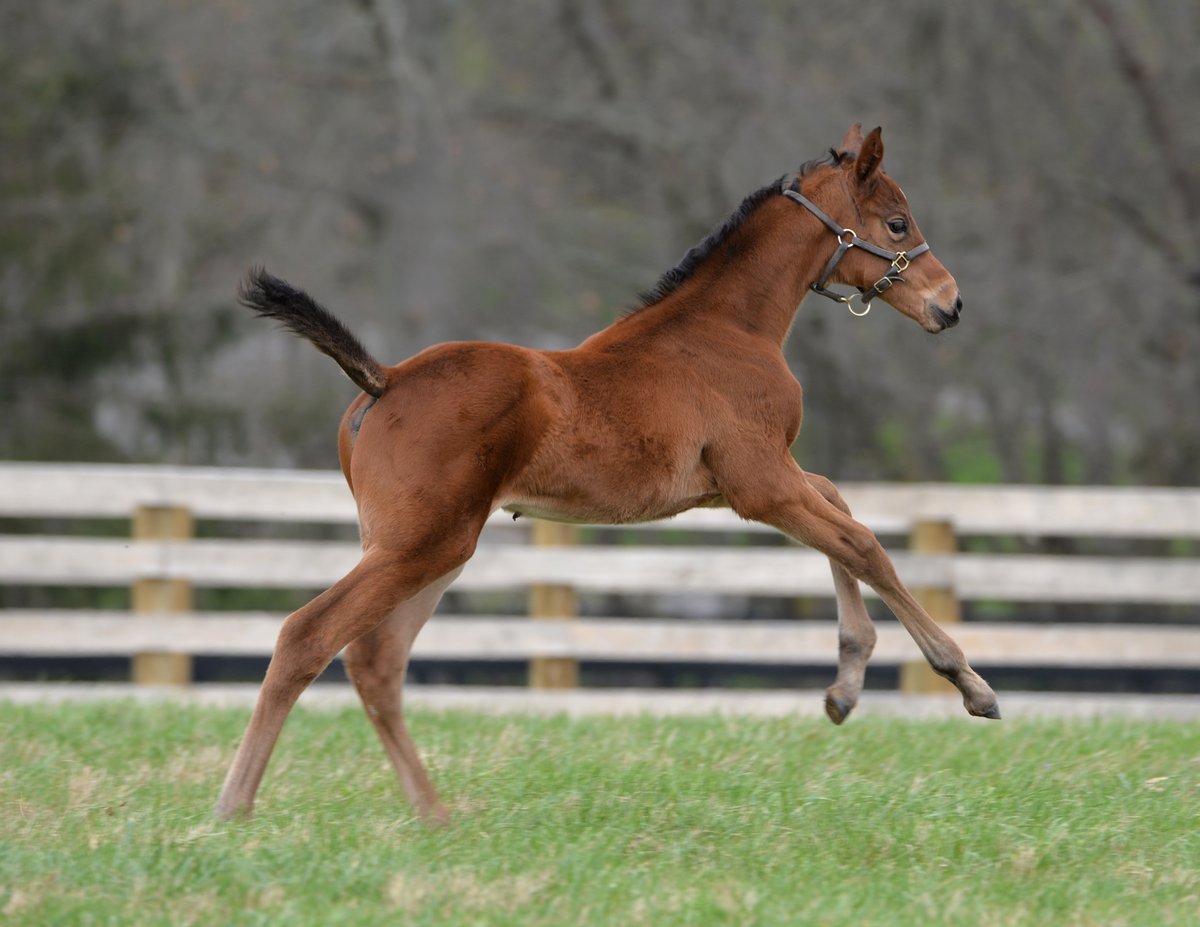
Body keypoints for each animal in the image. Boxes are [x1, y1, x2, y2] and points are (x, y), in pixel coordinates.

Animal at [218, 126, 1003, 821]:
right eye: (897, 222)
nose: (952, 303)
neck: (727, 331)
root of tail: (384, 380)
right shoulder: (760, 483)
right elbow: (864, 543)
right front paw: (968, 682)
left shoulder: (745, 482)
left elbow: (842, 512)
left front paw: (846, 683)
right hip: (420, 545)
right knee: (307, 636)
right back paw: (235, 805)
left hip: (429, 549)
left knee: (376, 661)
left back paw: (434, 814)